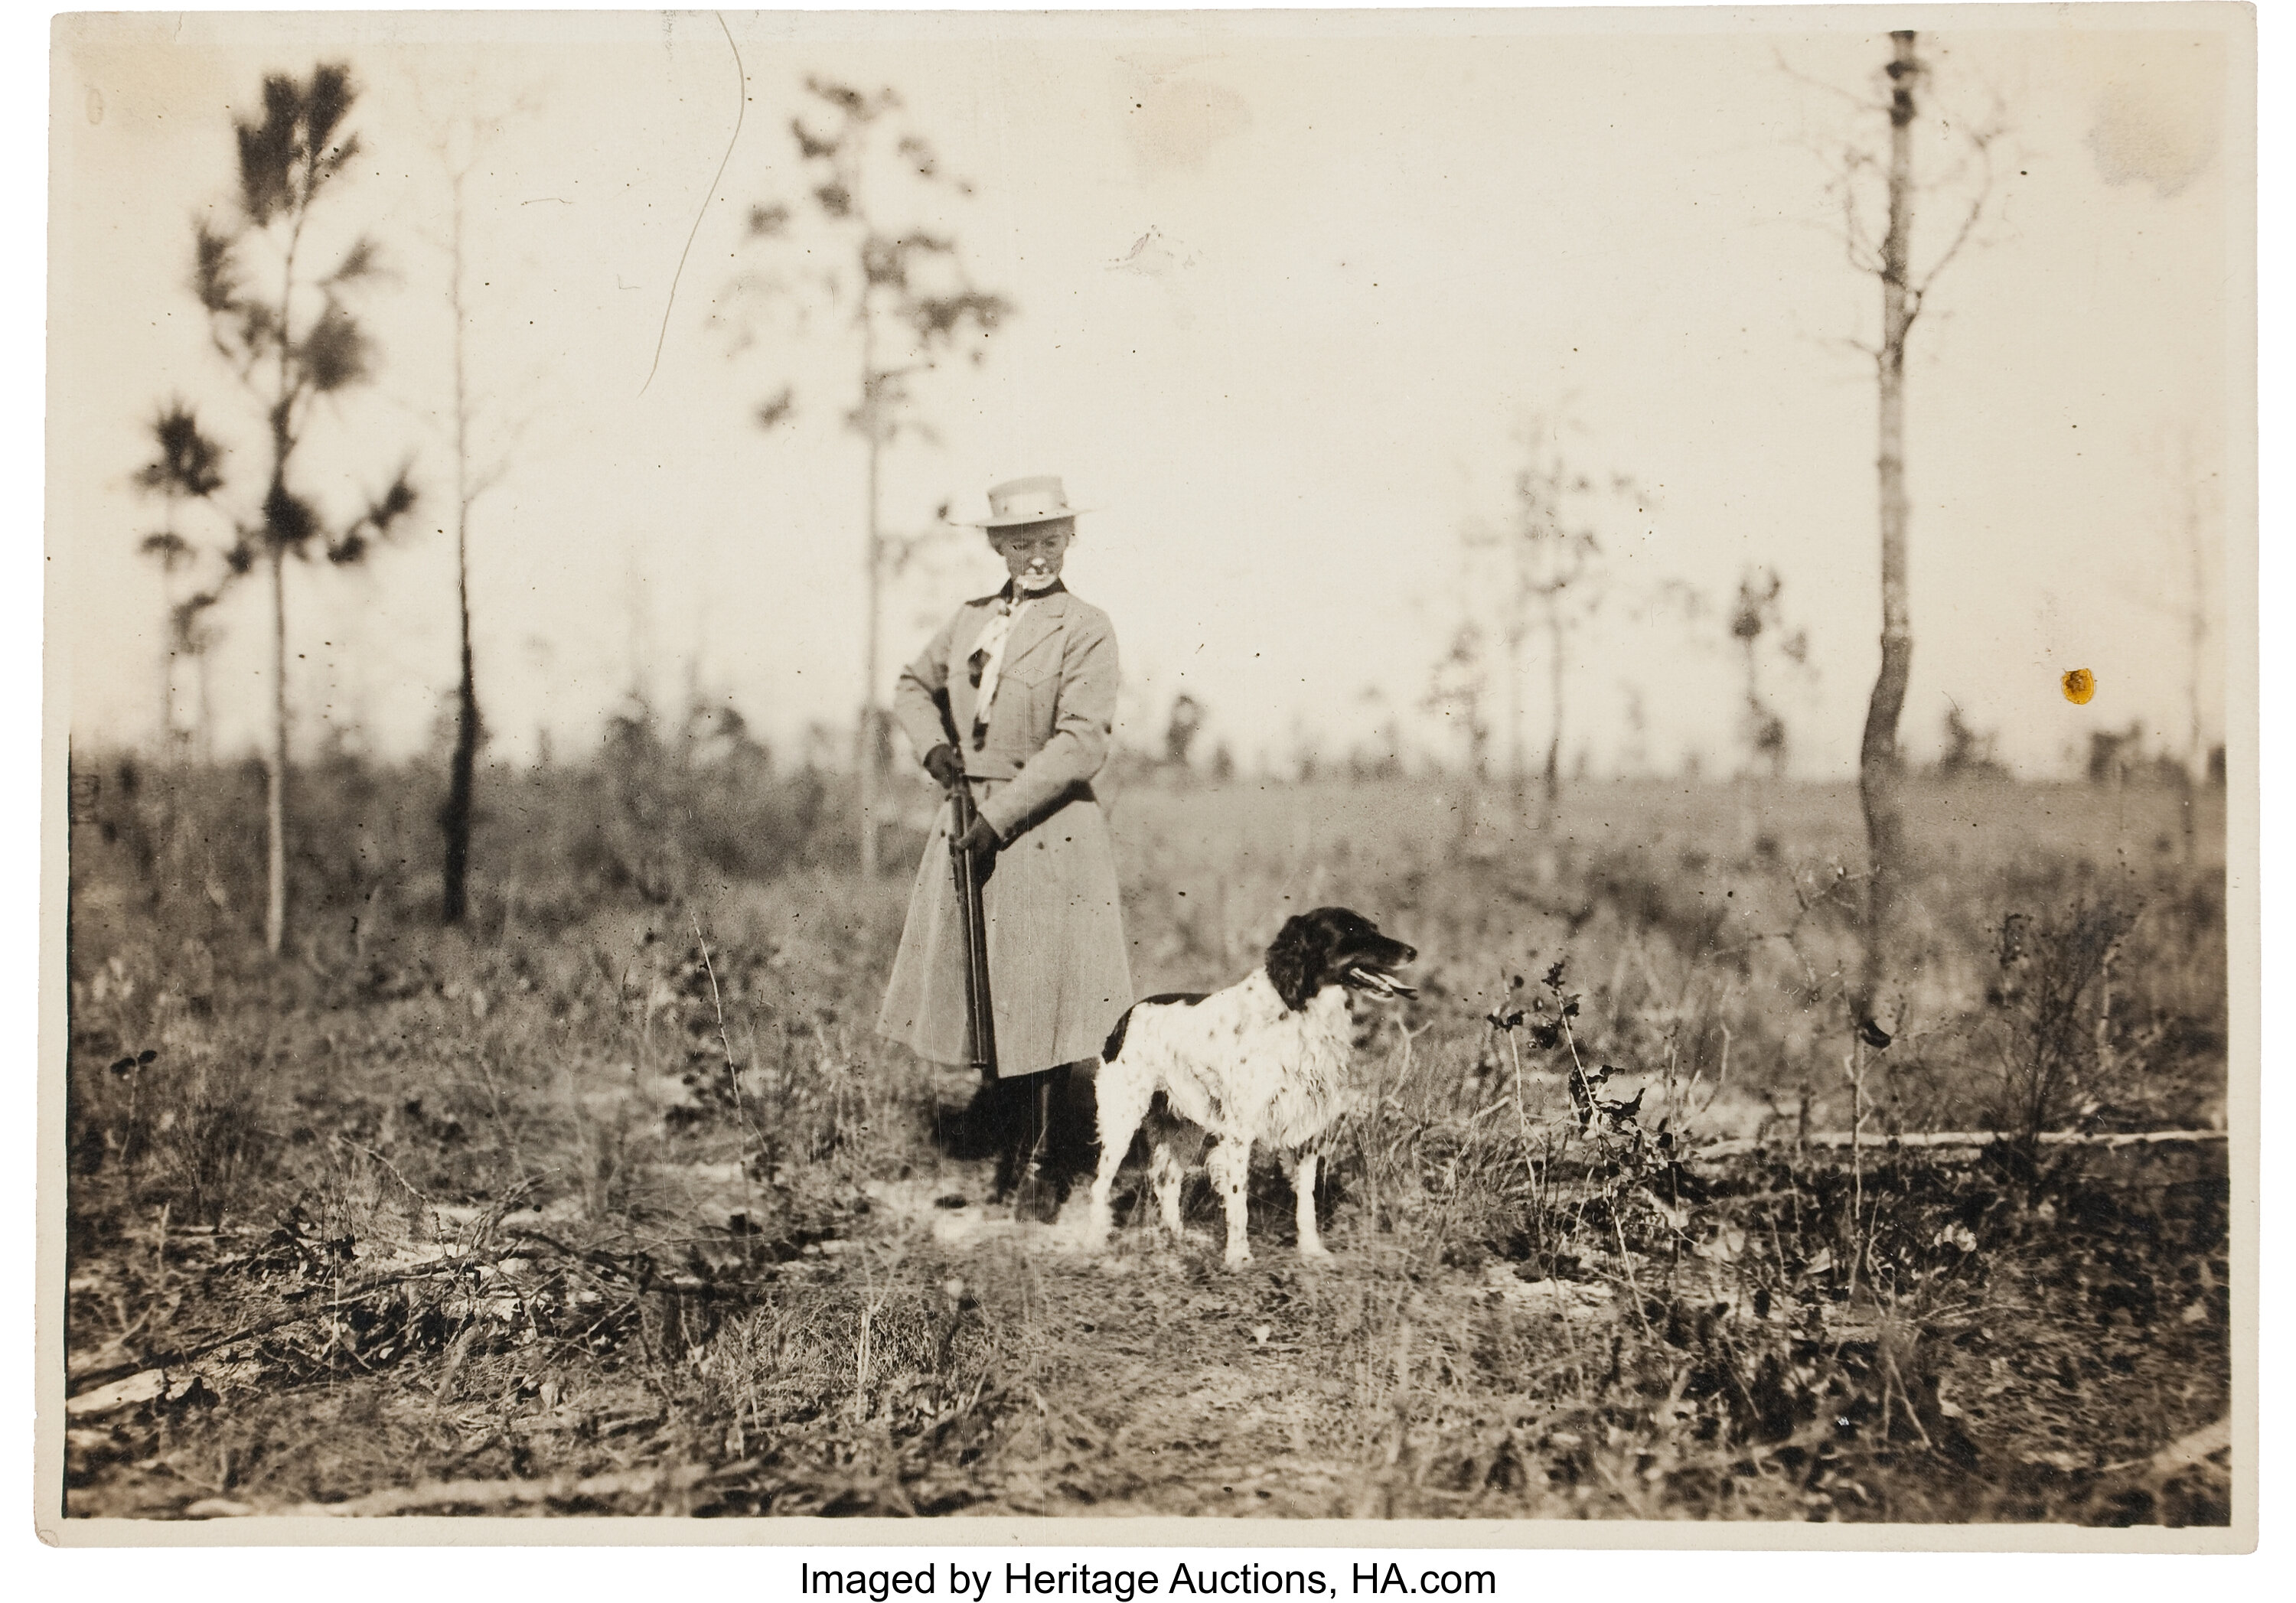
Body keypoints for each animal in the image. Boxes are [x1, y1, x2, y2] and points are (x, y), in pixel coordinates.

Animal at [1079, 909, 1414, 1258]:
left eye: (1374, 928)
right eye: (1352, 930)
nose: (1412, 952)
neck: (1298, 1010)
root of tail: (1125, 1017)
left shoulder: (1307, 1128)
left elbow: (1306, 1200)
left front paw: (1311, 1249)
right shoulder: (1240, 1132)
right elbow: (1239, 1201)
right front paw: (1238, 1256)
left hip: (1184, 1126)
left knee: (1166, 1180)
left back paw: (1178, 1238)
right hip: (1123, 1119)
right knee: (1102, 1184)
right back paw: (1092, 1242)